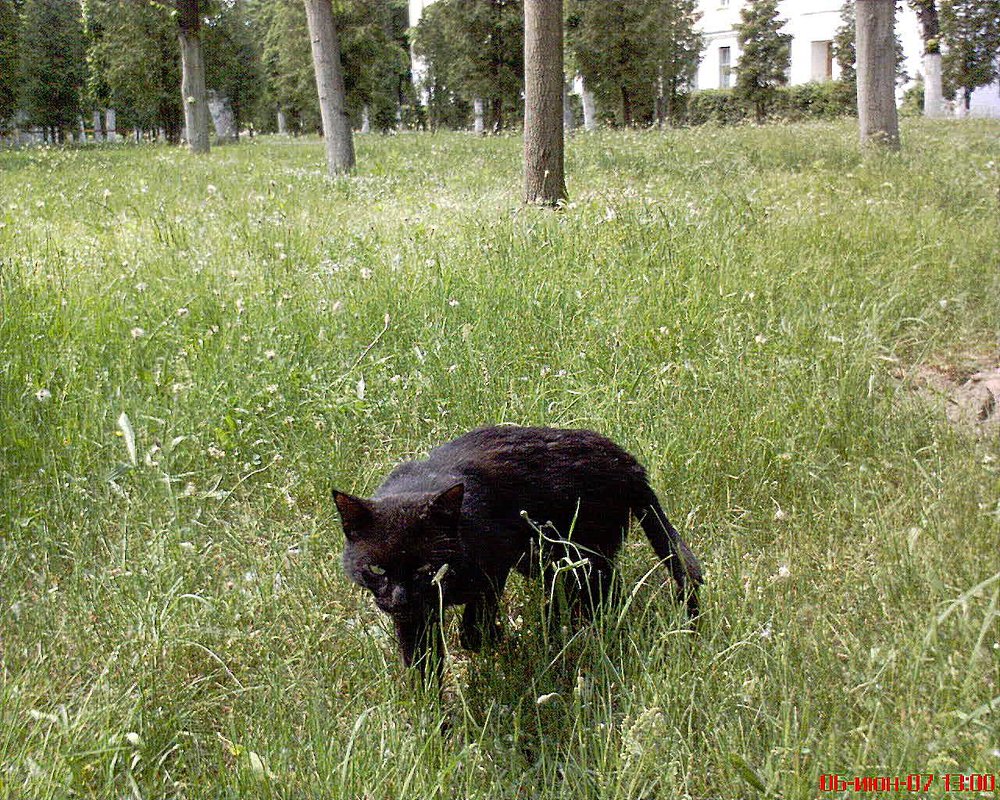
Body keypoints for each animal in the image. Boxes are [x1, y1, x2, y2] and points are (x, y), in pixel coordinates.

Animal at [336, 428, 704, 672]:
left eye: (425, 569)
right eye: (376, 569)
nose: (400, 599)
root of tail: (631, 465)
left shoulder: (495, 563)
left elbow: (476, 623)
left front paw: (492, 637)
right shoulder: (415, 620)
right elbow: (422, 667)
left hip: (577, 554)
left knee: (605, 592)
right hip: (551, 561)